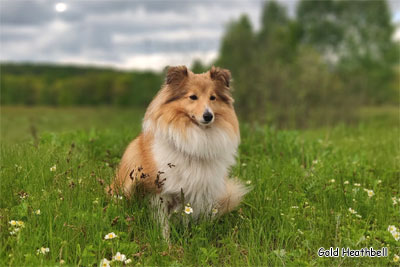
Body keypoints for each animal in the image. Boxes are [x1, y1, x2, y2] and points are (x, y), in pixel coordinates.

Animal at [108, 65, 247, 239]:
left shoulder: (195, 194)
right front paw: (166, 242)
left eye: (213, 98)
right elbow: (163, 224)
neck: (197, 138)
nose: (208, 116)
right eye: (192, 97)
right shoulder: (159, 192)